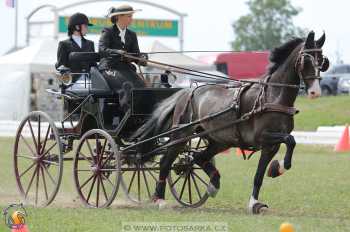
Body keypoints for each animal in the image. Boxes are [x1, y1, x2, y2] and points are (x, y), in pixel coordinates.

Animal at [133, 31, 330, 214]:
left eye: (322, 61)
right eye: (306, 60)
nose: (315, 92)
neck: (273, 96)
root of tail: (186, 91)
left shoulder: (270, 145)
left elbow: (261, 173)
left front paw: (260, 195)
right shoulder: (264, 137)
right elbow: (290, 140)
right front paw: (276, 171)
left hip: (219, 140)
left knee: (198, 157)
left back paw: (213, 185)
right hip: (182, 135)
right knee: (166, 162)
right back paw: (159, 199)